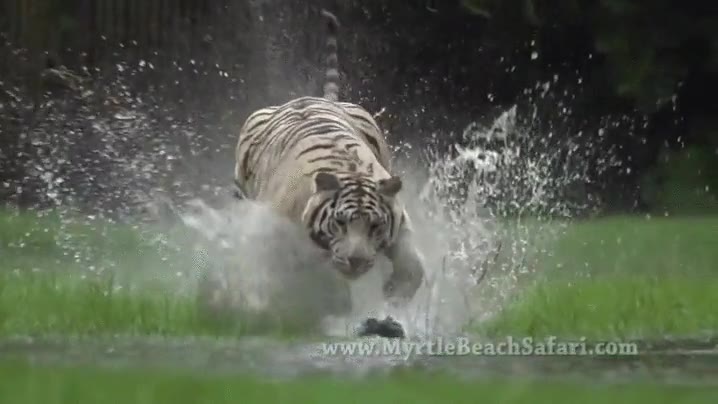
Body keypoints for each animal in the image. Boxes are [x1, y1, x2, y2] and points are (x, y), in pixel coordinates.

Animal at [232, 9, 426, 309]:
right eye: (340, 223)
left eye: (375, 226)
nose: (356, 261)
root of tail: (315, 98)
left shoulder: (399, 218)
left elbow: (411, 262)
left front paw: (396, 295)